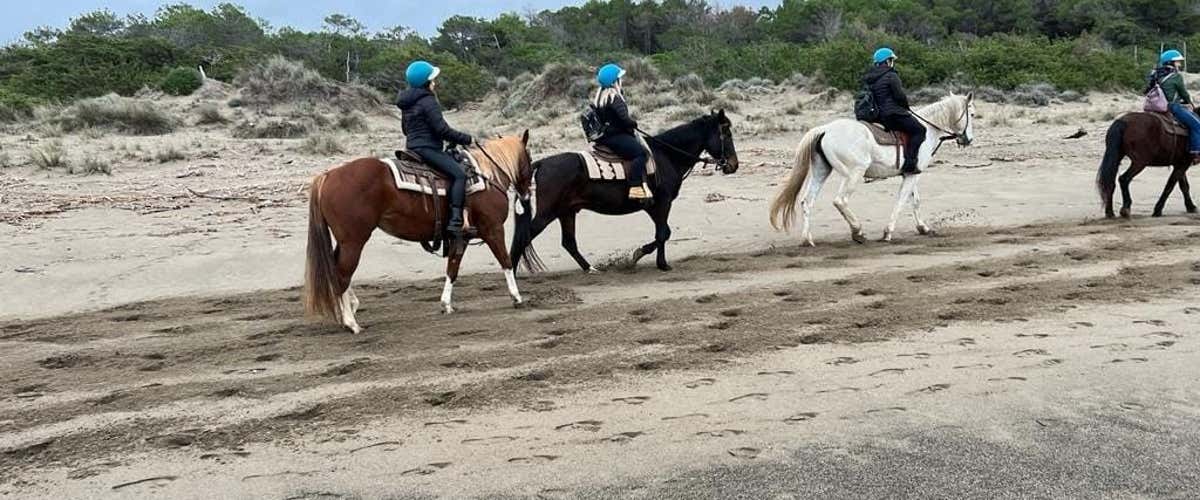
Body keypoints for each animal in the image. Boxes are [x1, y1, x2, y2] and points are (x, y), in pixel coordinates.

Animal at [304, 132, 534, 333]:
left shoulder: (462, 237)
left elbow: (453, 268)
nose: (527, 195)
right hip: (353, 242)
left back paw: (349, 310)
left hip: (344, 242)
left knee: (336, 272)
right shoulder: (493, 229)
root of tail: (328, 176)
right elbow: (506, 261)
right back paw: (351, 323)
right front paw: (517, 298)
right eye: (530, 159)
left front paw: (446, 304)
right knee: (342, 275)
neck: (488, 176)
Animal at [509, 110, 739, 274]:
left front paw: (651, 258)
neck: (666, 155)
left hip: (566, 212)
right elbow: (663, 233)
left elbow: (662, 232)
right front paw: (653, 260)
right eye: (726, 133)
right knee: (525, 237)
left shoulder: (654, 206)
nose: (733, 165)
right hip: (547, 213)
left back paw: (590, 268)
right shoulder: (663, 202)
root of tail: (542, 163)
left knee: (569, 243)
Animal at [769, 93, 976, 245]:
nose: (968, 140)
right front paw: (888, 232)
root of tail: (825, 129)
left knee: (807, 202)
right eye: (972, 114)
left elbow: (915, 201)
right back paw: (857, 231)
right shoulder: (912, 175)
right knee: (840, 201)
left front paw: (923, 228)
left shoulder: (910, 173)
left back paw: (807, 239)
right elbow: (901, 202)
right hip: (853, 174)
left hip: (821, 172)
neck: (928, 129)